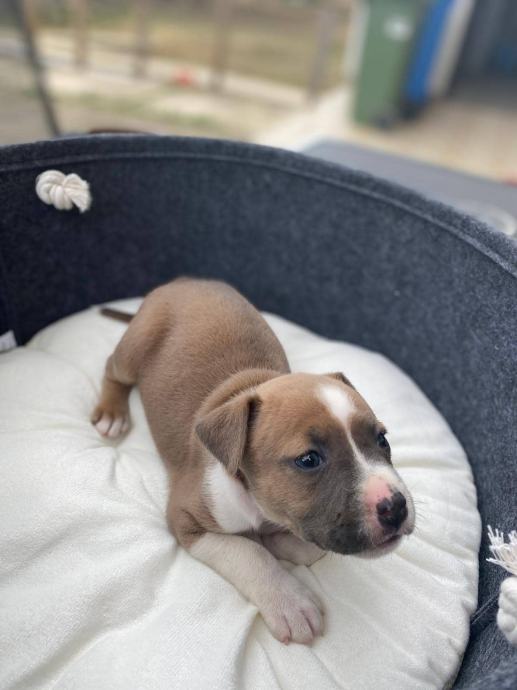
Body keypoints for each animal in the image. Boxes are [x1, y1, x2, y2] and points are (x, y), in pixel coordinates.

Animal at [92, 278, 415, 645]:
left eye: (382, 440)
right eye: (309, 459)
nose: (396, 507)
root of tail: (182, 281)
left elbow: (306, 546)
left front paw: (279, 540)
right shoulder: (184, 518)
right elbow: (248, 553)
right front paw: (289, 602)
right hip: (134, 349)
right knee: (112, 368)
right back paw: (112, 412)